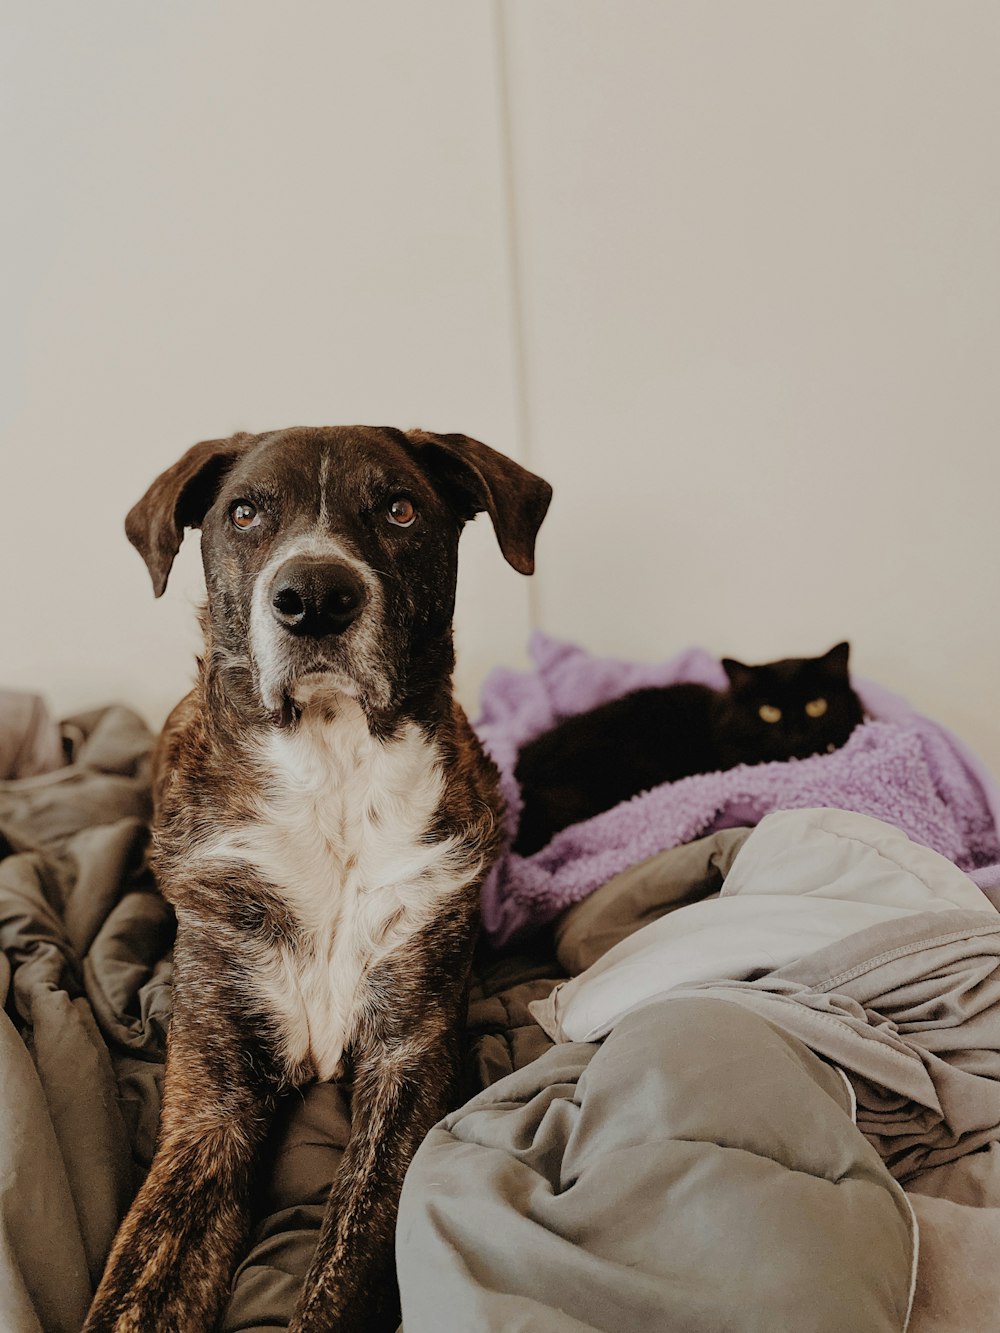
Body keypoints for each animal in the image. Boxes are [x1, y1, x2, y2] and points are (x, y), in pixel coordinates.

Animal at [86, 426, 552, 1333]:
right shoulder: (212, 1105)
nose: (314, 596)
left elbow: (349, 1254)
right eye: (244, 513)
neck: (333, 770)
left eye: (400, 509)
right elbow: (137, 1288)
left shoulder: (408, 1064)